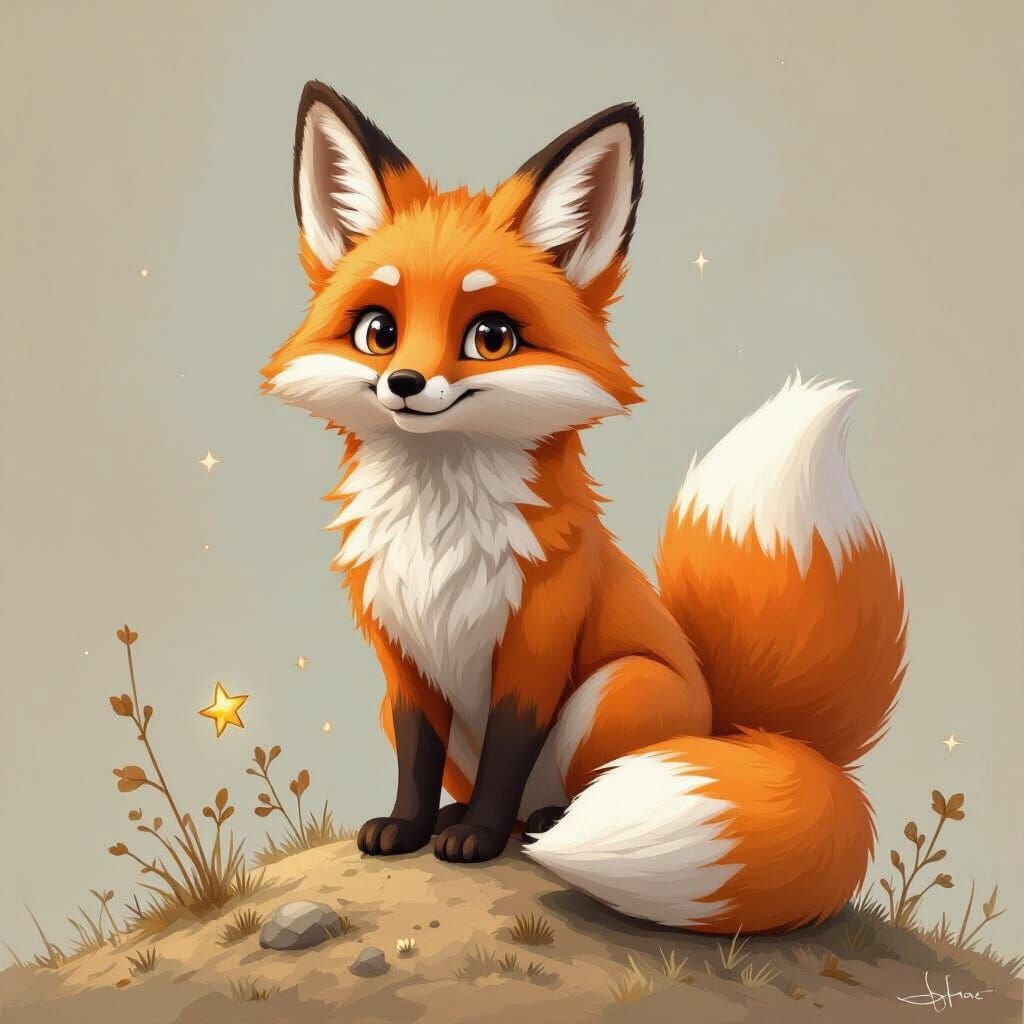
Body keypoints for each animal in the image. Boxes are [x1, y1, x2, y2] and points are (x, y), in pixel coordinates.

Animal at [262, 81, 906, 934]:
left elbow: (509, 751)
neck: (438, 529)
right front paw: (407, 825)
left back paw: (536, 824)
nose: (404, 384)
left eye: (491, 336)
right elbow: (415, 755)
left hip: (618, 690)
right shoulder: (400, 655)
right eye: (378, 330)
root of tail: (734, 729)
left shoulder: (536, 642)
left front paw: (474, 839)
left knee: (563, 794)